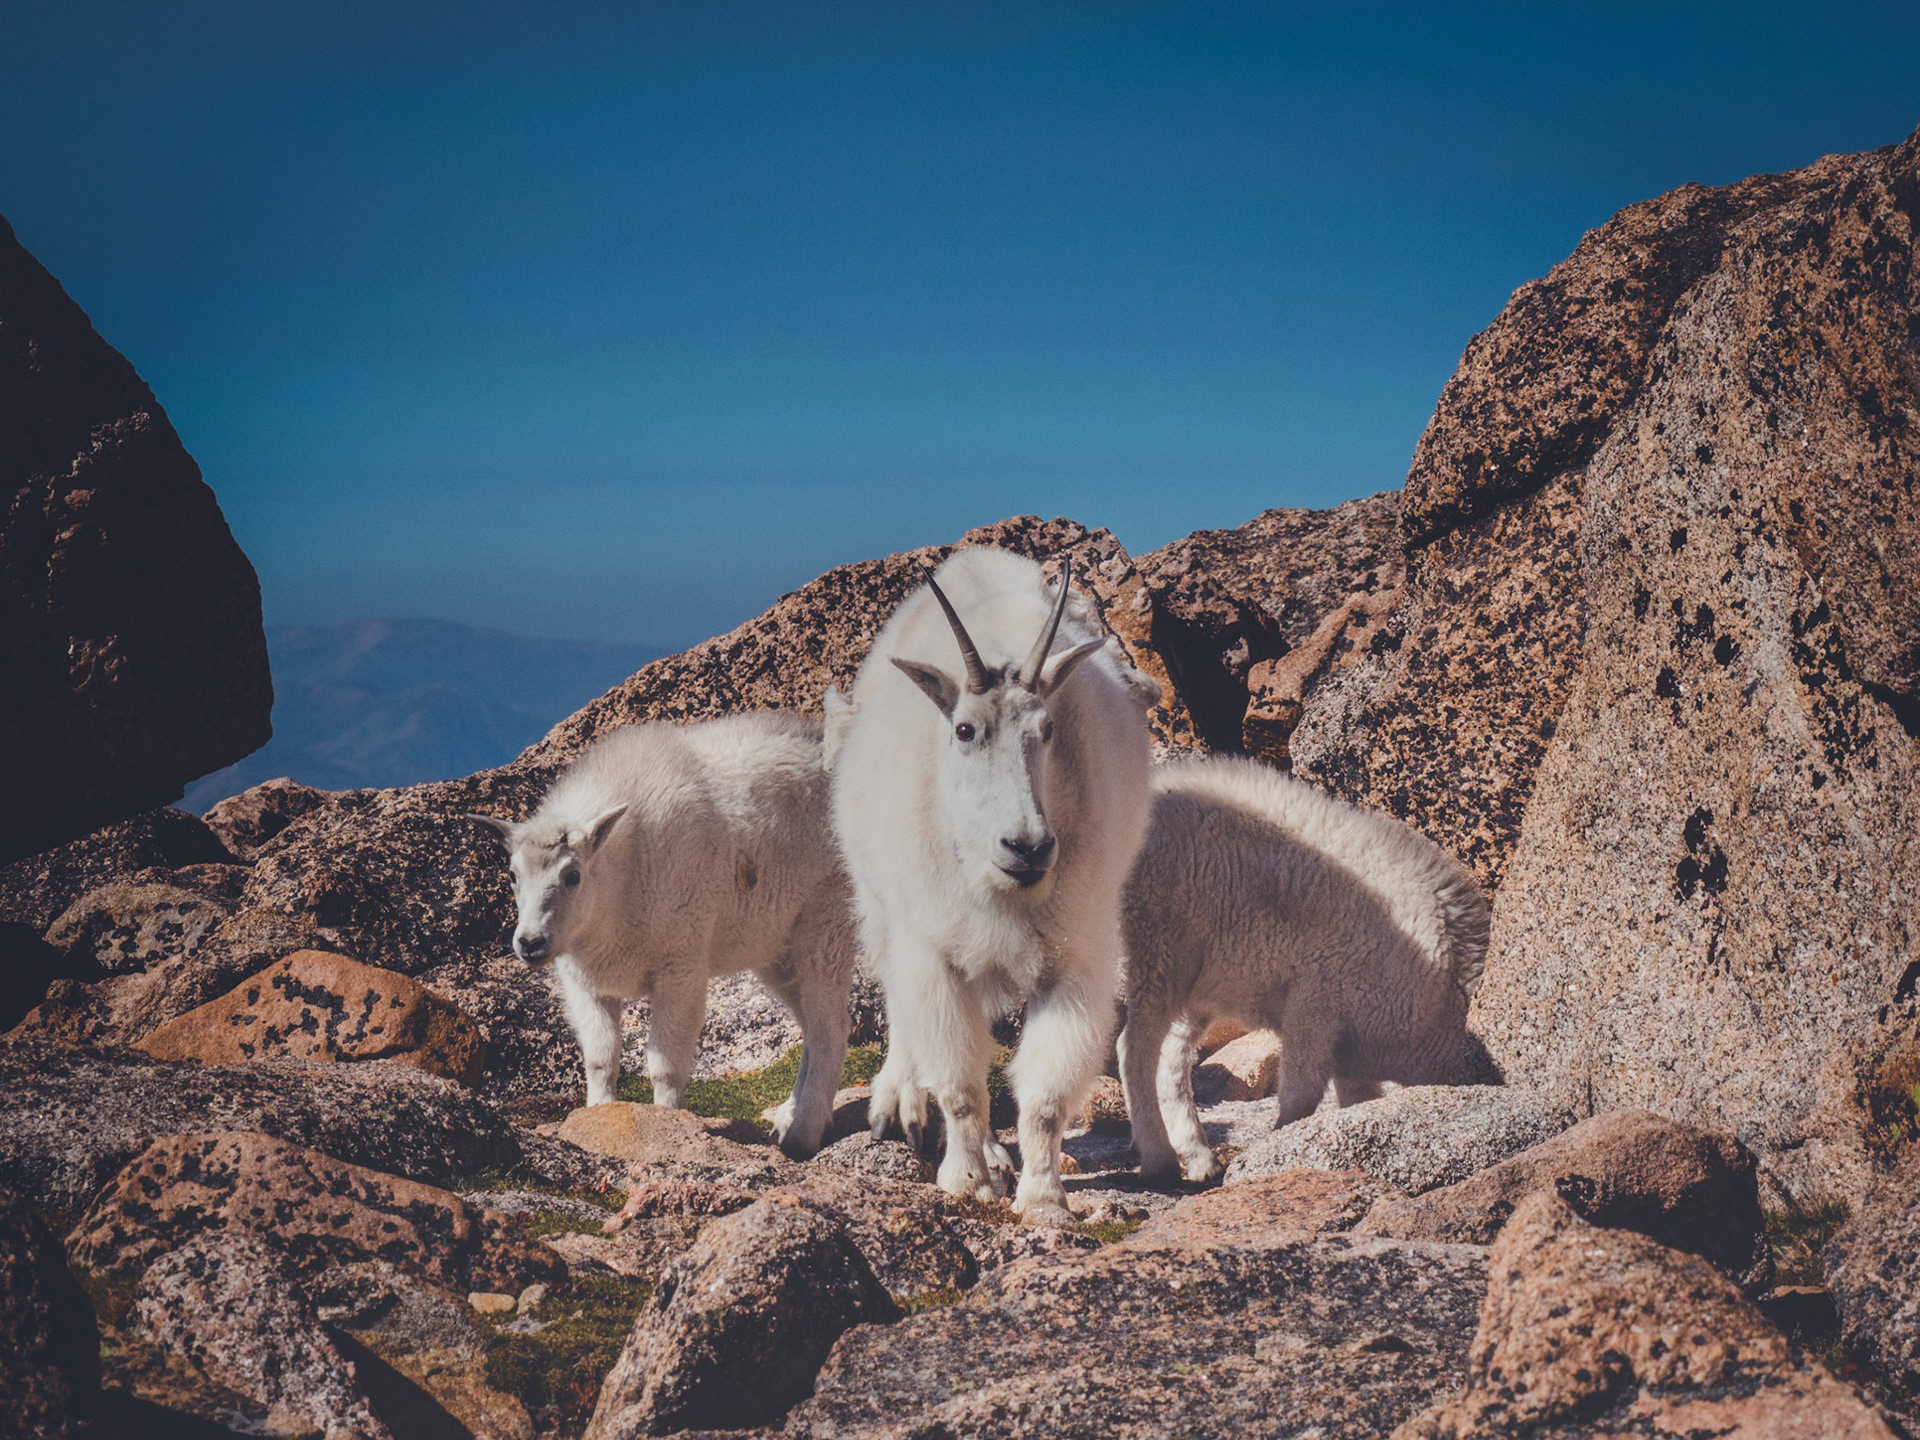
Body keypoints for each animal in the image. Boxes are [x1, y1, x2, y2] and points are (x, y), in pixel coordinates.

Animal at [468, 713, 857, 1159]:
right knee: (811, 1025)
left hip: (826, 923)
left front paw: (669, 1122)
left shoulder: (680, 967)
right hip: (778, 951)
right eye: (513, 875)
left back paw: (803, 1134)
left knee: (830, 1030)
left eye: (573, 875)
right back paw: (789, 1120)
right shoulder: (585, 983)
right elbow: (601, 1058)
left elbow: (664, 1063)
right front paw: (599, 1118)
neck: (623, 872)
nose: (530, 943)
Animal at [828, 547, 1159, 1224]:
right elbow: (958, 1083)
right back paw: (900, 1107)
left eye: (1048, 730)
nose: (1027, 847)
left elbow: (1045, 1097)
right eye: (963, 730)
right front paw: (967, 1183)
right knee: (900, 1007)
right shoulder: (934, 952)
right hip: (880, 908)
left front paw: (1044, 1199)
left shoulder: (1075, 962)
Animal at [1118, 754, 1490, 1182]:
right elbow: (1302, 1092)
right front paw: (1281, 1140)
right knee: (1135, 1049)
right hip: (1158, 947)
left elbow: (1358, 1103)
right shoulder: (1315, 1005)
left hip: (1196, 980)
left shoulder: (1353, 1054)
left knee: (1172, 1058)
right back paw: (1158, 1158)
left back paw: (1199, 1157)